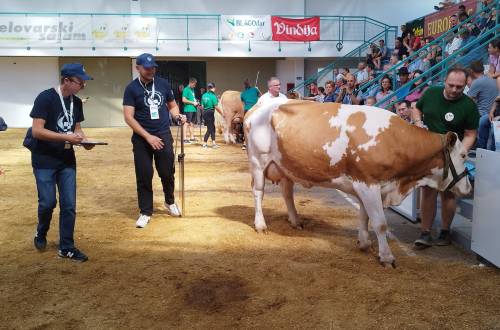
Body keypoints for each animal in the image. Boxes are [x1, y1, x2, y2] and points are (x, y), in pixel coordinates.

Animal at [244, 98, 470, 266]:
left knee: (287, 191)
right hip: (258, 161)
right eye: (465, 155)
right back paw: (261, 224)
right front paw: (386, 256)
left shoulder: (365, 183)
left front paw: (364, 243)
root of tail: (261, 104)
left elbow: (365, 215)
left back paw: (296, 221)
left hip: (285, 165)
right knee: (258, 192)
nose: (468, 187)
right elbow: (379, 223)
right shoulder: (368, 183)